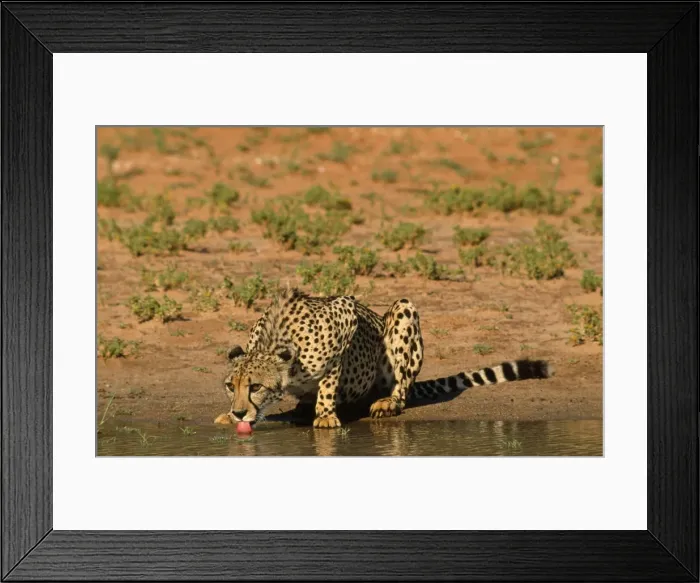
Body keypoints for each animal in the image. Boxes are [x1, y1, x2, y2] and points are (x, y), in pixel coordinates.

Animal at [215, 286, 552, 429]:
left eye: (256, 386)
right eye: (231, 387)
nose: (240, 413)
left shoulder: (345, 315)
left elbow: (329, 384)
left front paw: (325, 415)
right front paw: (229, 415)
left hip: (403, 310)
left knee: (401, 386)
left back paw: (388, 402)